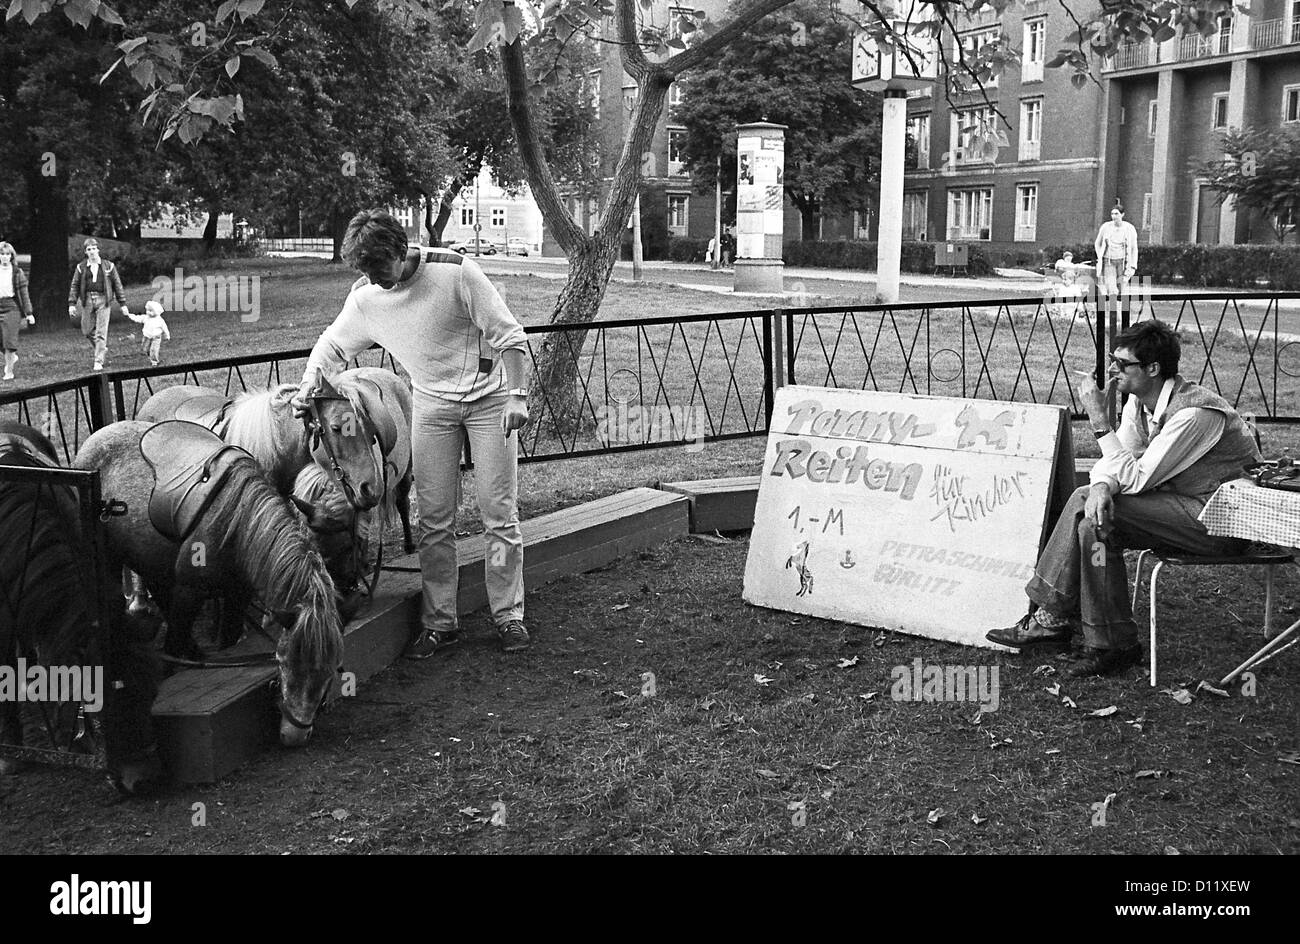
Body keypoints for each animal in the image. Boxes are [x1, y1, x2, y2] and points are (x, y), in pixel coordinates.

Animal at [73, 421, 343, 748]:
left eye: (329, 672)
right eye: (285, 662)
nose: (295, 736)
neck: (238, 524)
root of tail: (95, 438)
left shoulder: (237, 596)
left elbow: (226, 639)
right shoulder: (189, 593)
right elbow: (173, 642)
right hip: (111, 560)